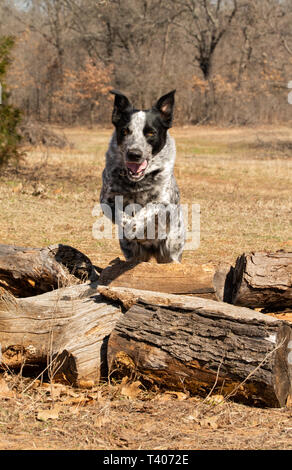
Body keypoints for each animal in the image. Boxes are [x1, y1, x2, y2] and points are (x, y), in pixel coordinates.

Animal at [100, 89, 185, 262]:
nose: (134, 154)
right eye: (125, 131)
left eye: (151, 132)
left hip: (171, 248)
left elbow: (148, 209)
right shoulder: (106, 200)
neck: (136, 183)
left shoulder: (164, 203)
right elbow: (121, 216)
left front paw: (135, 226)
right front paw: (130, 227)